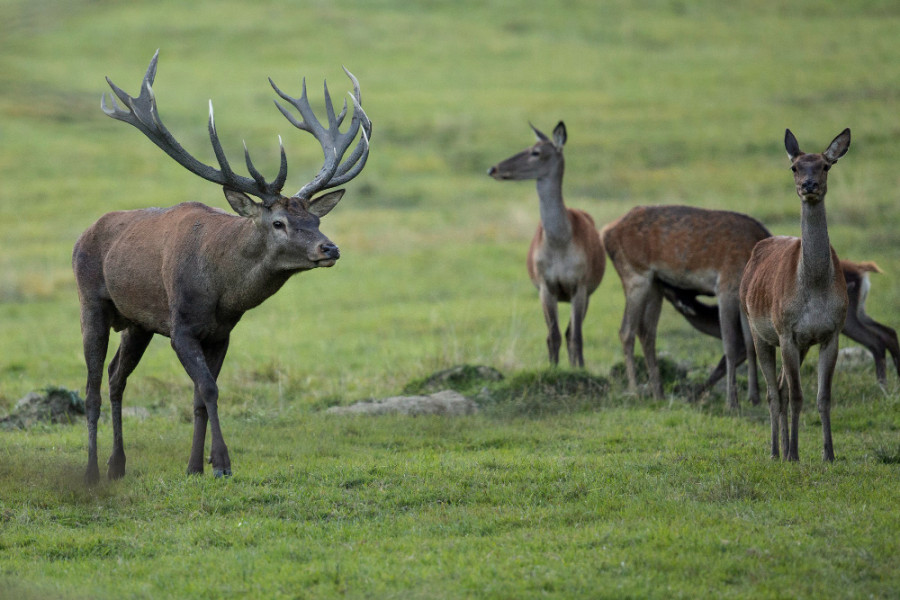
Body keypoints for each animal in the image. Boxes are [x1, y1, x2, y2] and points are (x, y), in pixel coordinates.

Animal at [72, 51, 370, 482]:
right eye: (278, 223)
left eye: (315, 219)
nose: (329, 248)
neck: (222, 292)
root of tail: (82, 235)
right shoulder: (181, 327)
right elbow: (210, 389)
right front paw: (222, 463)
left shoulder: (222, 333)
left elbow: (199, 395)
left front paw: (195, 466)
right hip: (91, 303)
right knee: (92, 387)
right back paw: (93, 471)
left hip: (138, 324)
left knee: (116, 378)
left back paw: (118, 465)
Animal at [488, 121, 608, 366]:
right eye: (527, 147)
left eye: (536, 152)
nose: (492, 169)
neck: (560, 244)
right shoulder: (545, 285)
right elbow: (552, 335)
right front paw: (553, 368)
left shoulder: (580, 285)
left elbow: (577, 336)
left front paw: (580, 369)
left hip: (588, 292)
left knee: (572, 333)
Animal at [600, 204, 768, 406]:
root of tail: (606, 232)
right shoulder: (726, 285)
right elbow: (731, 346)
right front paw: (732, 403)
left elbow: (750, 344)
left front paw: (754, 398)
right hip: (635, 274)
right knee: (626, 331)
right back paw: (635, 392)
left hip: (655, 283)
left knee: (647, 332)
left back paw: (659, 394)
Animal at [740, 129, 848, 462]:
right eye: (795, 167)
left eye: (825, 166)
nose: (808, 185)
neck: (815, 287)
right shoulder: (786, 330)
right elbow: (798, 396)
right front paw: (796, 454)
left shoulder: (831, 333)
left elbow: (823, 397)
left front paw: (829, 454)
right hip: (759, 332)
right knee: (773, 393)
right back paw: (777, 451)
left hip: (799, 346)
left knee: (781, 388)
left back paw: (785, 447)